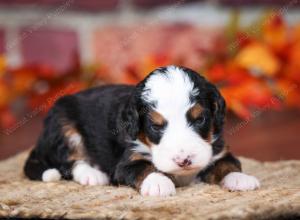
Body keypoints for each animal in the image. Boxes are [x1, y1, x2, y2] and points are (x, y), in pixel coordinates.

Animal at [24, 65, 260, 196]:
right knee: (70, 161)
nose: (184, 160)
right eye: (155, 126)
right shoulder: (127, 161)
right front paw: (158, 183)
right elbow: (143, 168)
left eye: (200, 119)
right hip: (63, 125)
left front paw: (240, 178)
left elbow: (227, 164)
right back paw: (93, 175)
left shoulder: (218, 149)